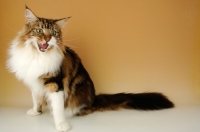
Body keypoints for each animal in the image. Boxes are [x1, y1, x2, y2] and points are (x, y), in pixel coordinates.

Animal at [7, 6, 174, 132]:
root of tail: (94, 98)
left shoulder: (55, 84)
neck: (37, 56)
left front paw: (61, 124)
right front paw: (36, 112)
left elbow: (58, 108)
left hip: (82, 87)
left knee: (84, 109)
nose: (47, 39)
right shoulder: (34, 82)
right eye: (39, 31)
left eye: (54, 33)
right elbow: (36, 100)